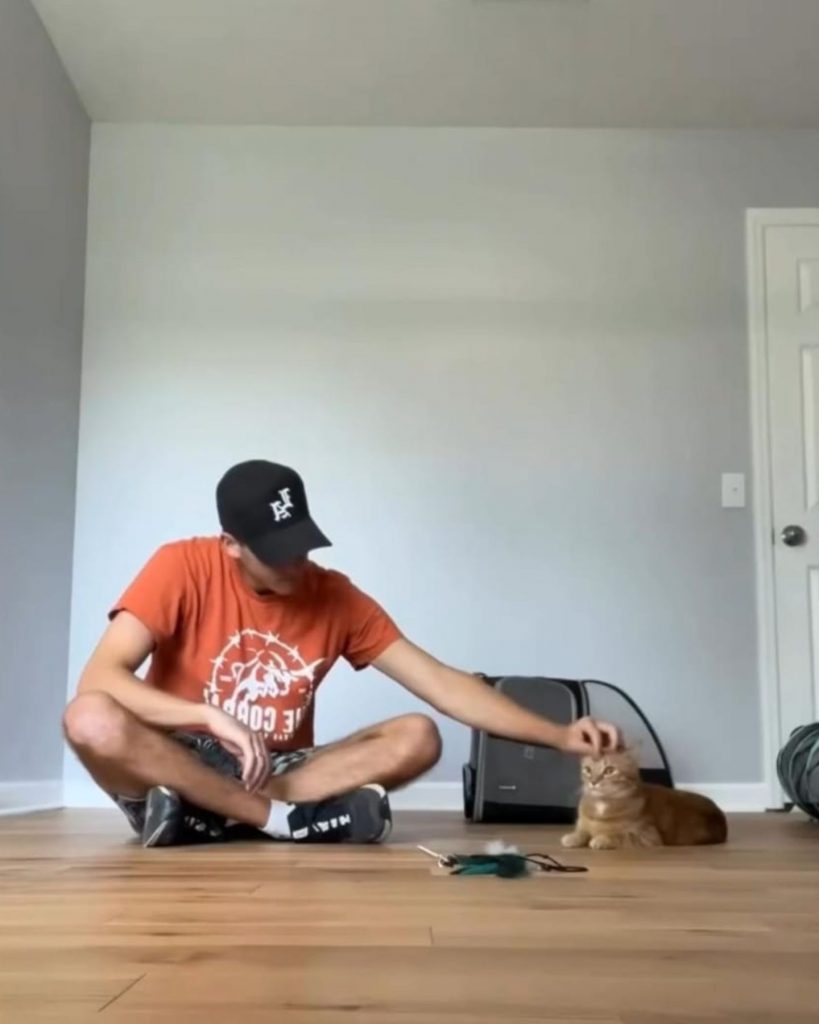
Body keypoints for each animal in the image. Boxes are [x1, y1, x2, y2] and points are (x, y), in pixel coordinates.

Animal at [565, 745, 728, 847]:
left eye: (609, 770)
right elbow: (582, 831)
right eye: (587, 770)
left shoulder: (648, 836)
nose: (593, 782)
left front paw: (601, 839)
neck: (602, 804)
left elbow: (618, 836)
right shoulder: (583, 825)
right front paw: (573, 837)